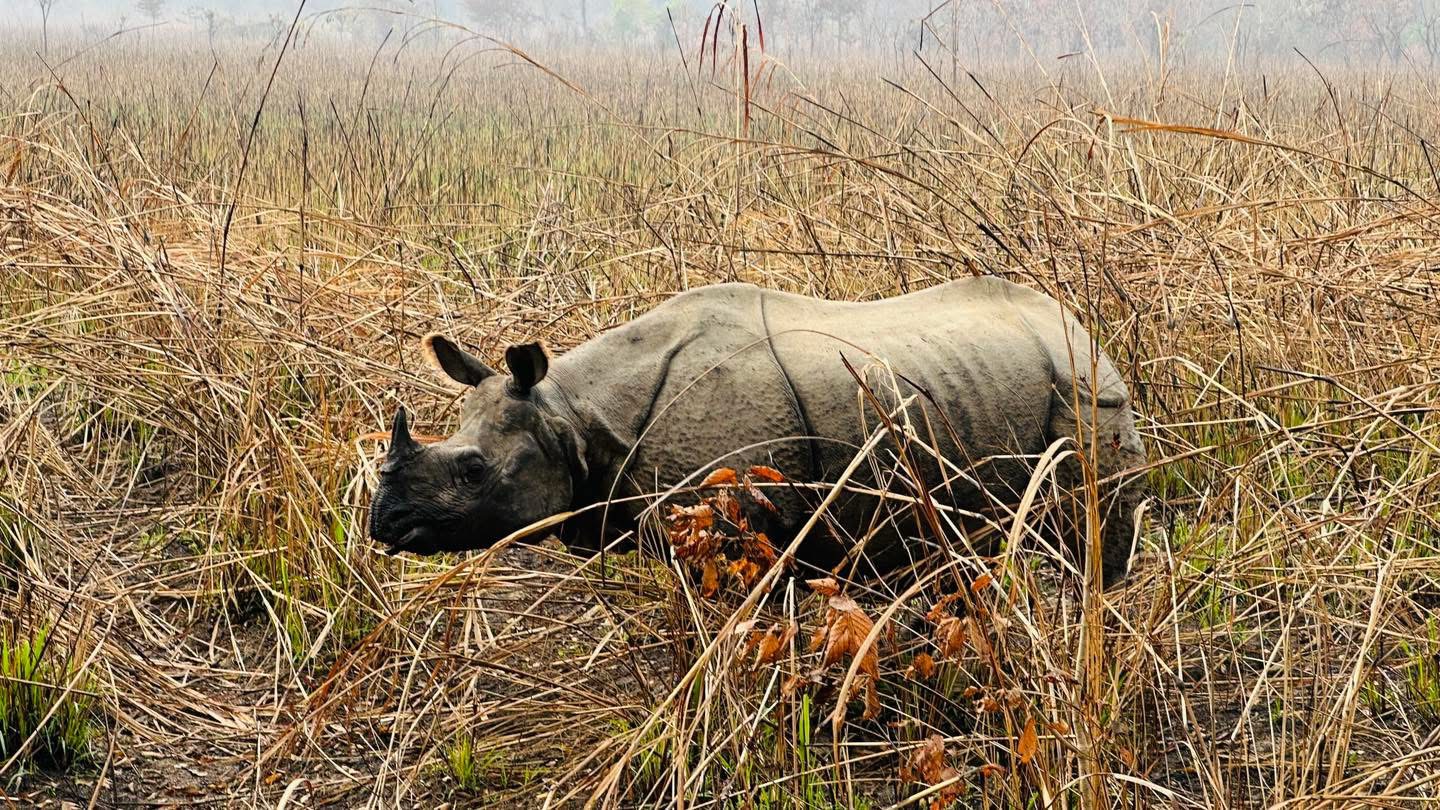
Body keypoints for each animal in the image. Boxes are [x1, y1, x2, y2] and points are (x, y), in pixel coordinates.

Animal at [369, 278, 1145, 586]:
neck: (572, 414)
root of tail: (1082, 327)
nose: (384, 524)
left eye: (473, 469)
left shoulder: (743, 521)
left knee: (1094, 534)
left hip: (1088, 397)